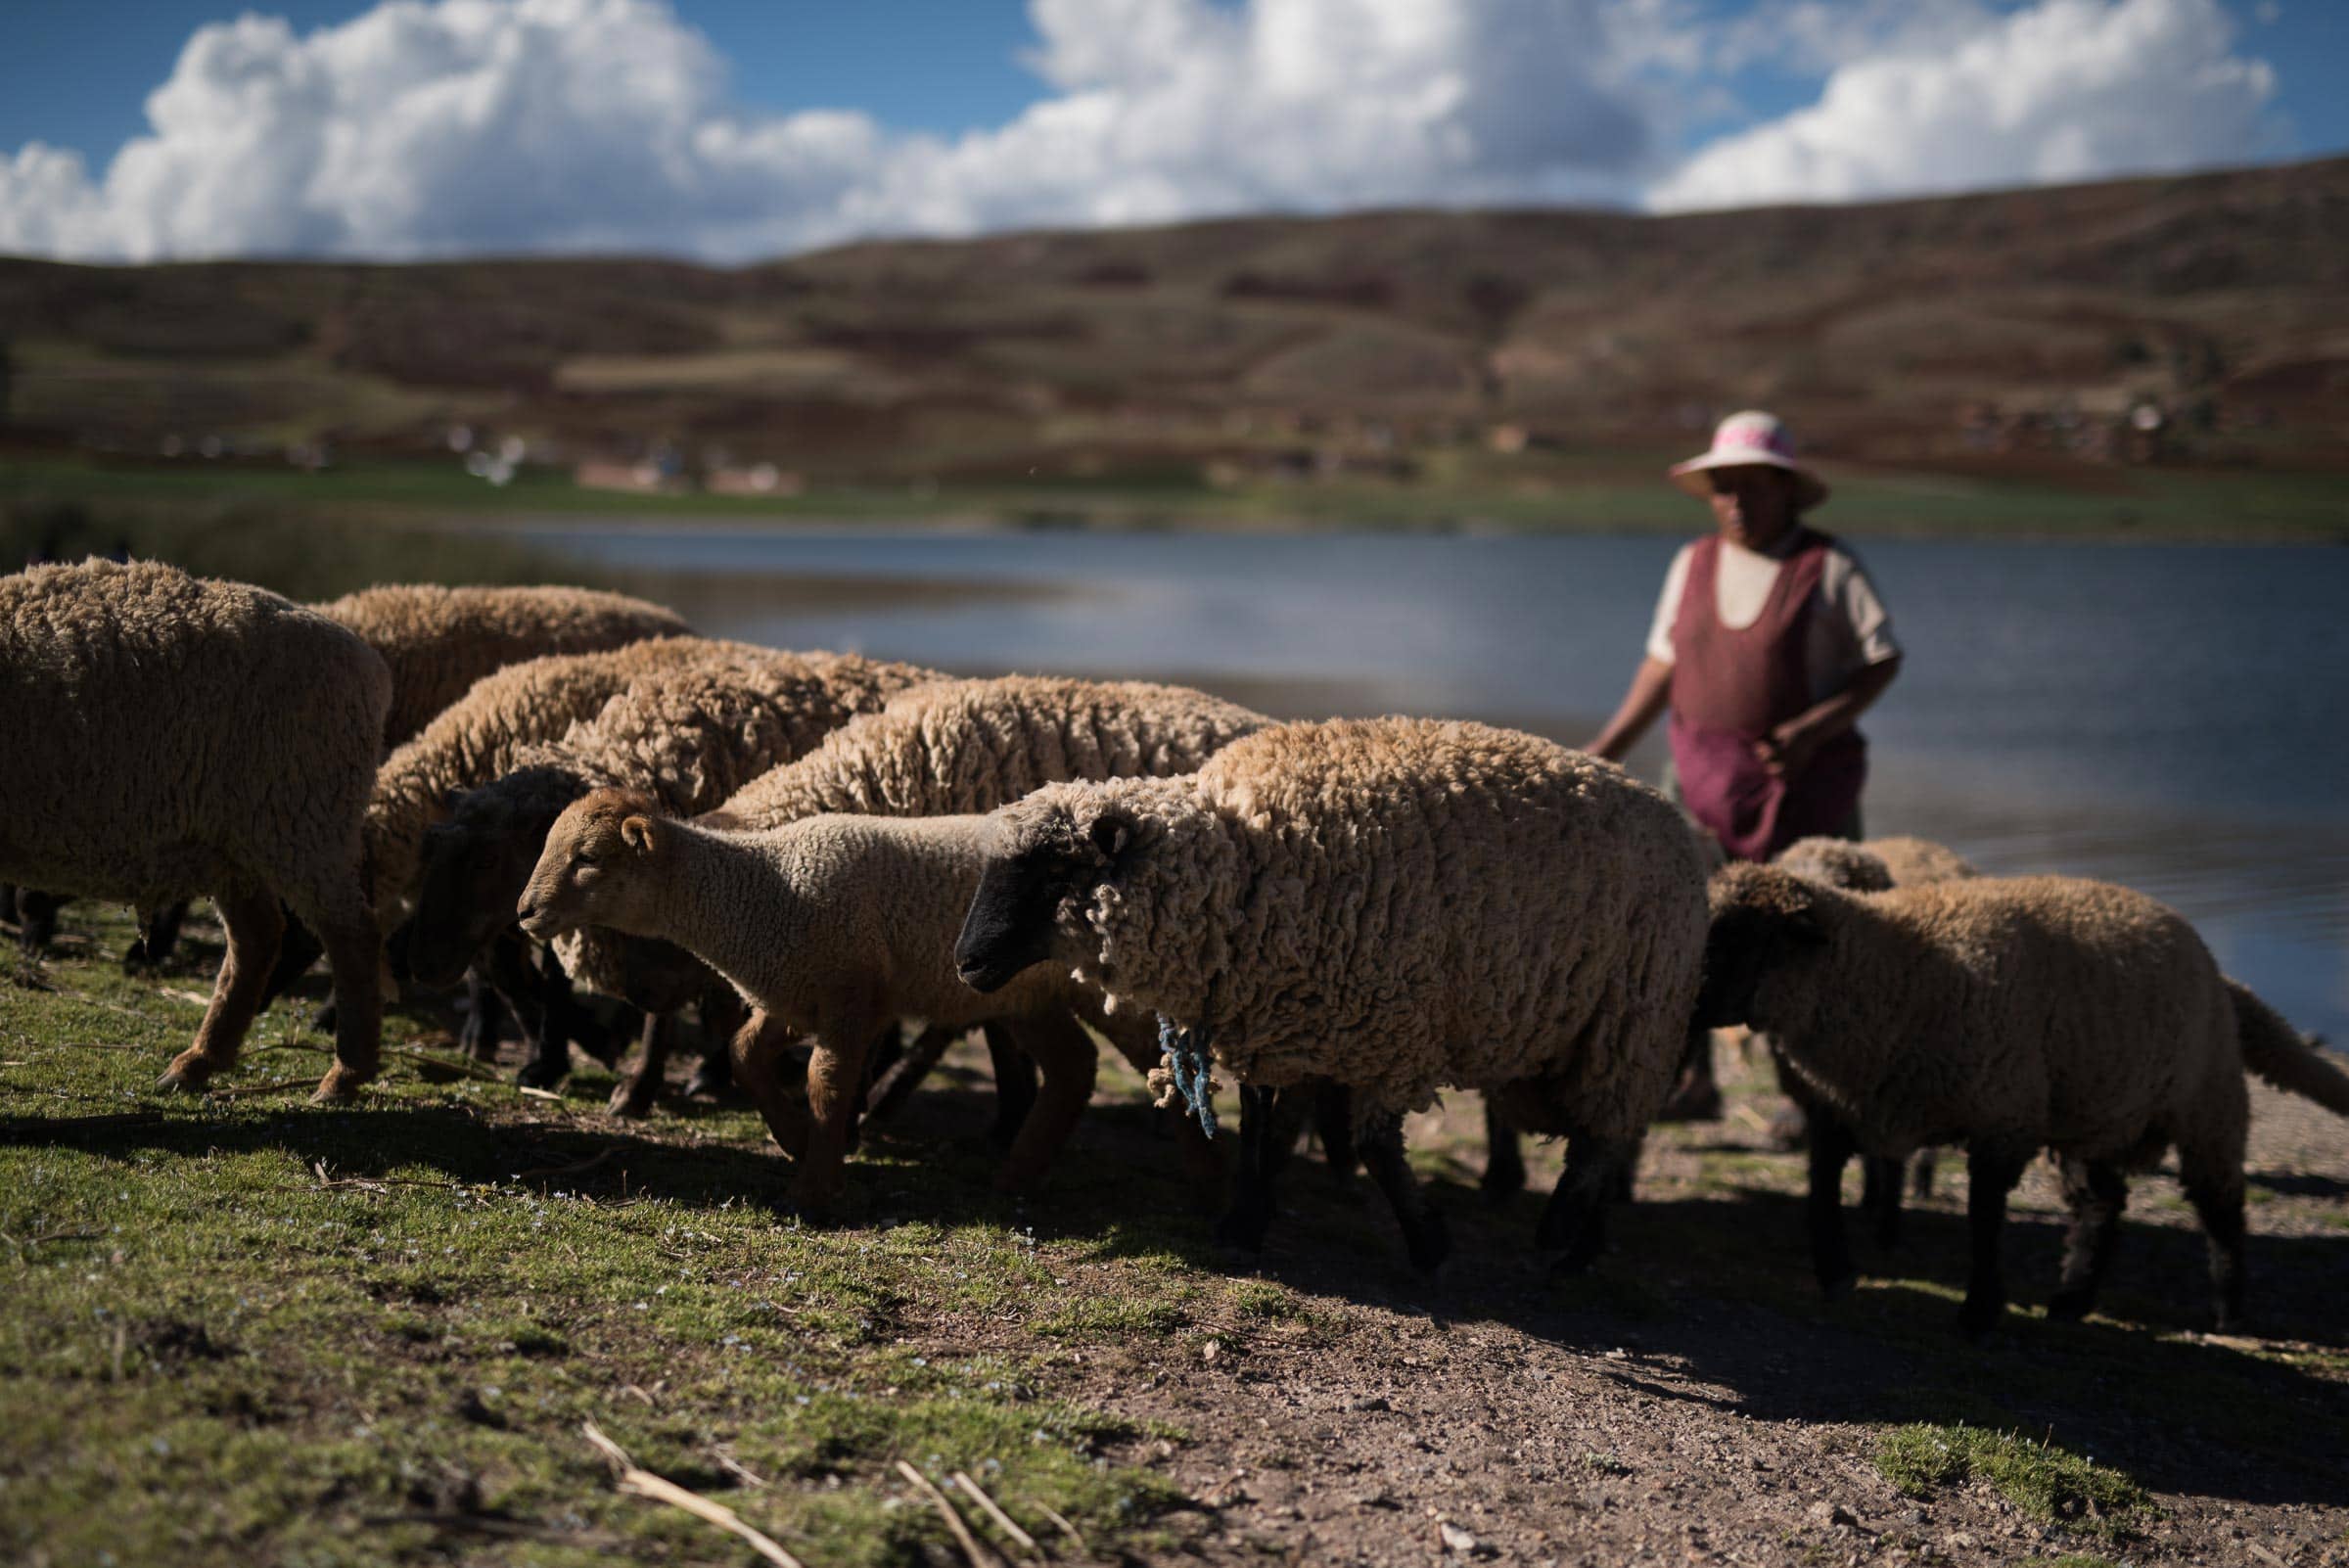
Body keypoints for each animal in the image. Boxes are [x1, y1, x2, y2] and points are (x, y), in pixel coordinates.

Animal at [0, 556, 390, 1098]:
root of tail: (369, 665)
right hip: (236, 844)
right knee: (257, 939)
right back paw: (195, 1063)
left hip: (303, 820)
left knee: (354, 935)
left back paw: (343, 1077)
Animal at [403, 647, 944, 1103]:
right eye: (433, 849)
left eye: (487, 860)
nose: (419, 964)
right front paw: (556, 1060)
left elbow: (658, 1008)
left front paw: (634, 1085)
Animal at [948, 717, 1710, 1268]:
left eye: (1056, 872)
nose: (966, 963)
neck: (1246, 864)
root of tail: (1666, 812)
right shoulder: (1275, 1021)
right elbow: (1262, 1127)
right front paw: (1243, 1224)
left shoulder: (1393, 1032)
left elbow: (1375, 1147)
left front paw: (1429, 1242)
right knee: (1601, 1136)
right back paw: (1584, 1240)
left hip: (1632, 1020)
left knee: (1603, 1137)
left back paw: (1560, 1238)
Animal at [1700, 858, 2349, 1333]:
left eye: (1734, 937)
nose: (1689, 998)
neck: (1896, 967)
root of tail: (2223, 978)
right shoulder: (1839, 1109)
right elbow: (1820, 1193)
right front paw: (1836, 1274)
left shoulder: (2002, 1117)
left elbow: (1984, 1218)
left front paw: (1980, 1312)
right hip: (2091, 1111)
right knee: (2102, 1203)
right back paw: (2071, 1301)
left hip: (2206, 1106)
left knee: (2222, 1210)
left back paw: (2228, 1313)